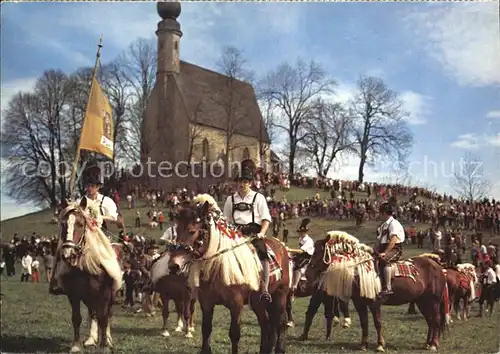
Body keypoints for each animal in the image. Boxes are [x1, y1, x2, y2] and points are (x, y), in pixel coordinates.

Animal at [48, 198, 123, 352]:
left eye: (81, 224)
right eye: (63, 224)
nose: (68, 254)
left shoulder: (104, 294)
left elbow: (104, 318)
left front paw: (104, 345)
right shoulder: (74, 294)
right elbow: (77, 318)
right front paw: (76, 346)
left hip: (110, 296)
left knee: (107, 314)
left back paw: (107, 339)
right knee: (93, 314)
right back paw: (91, 339)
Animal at [168, 195, 292, 352]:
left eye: (192, 231)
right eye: (177, 230)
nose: (174, 265)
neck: (218, 268)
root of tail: (282, 247)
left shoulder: (236, 306)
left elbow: (234, 334)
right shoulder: (207, 304)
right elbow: (206, 330)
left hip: (279, 295)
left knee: (280, 322)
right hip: (259, 302)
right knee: (266, 323)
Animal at [304, 230, 450, 352]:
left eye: (318, 252)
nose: (307, 274)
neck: (360, 269)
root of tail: (438, 266)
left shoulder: (375, 304)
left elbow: (377, 323)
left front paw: (380, 345)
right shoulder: (360, 304)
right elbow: (364, 323)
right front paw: (363, 345)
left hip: (434, 301)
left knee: (436, 320)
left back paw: (434, 344)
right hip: (422, 301)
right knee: (430, 321)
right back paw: (427, 344)